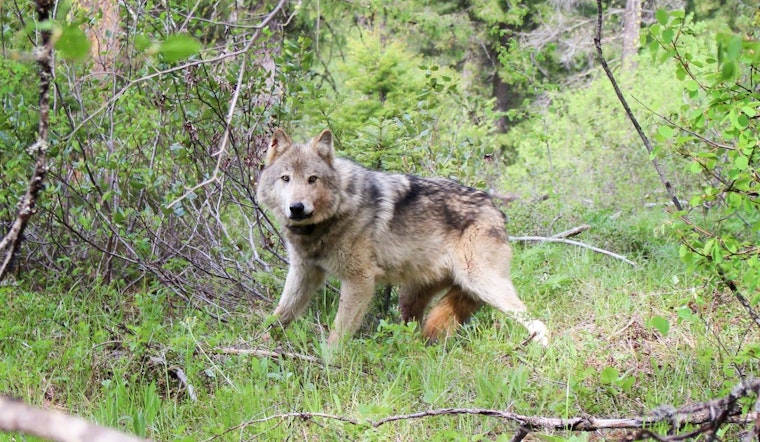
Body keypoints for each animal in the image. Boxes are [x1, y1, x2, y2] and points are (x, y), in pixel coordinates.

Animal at [256, 129, 548, 346]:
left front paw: (330, 363)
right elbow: (279, 315)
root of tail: (496, 209)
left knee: (536, 321)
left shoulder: (360, 280)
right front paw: (258, 347)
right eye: (285, 178)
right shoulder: (304, 273)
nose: (297, 207)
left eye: (312, 179)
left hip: (482, 284)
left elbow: (338, 333)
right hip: (411, 298)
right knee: (414, 331)